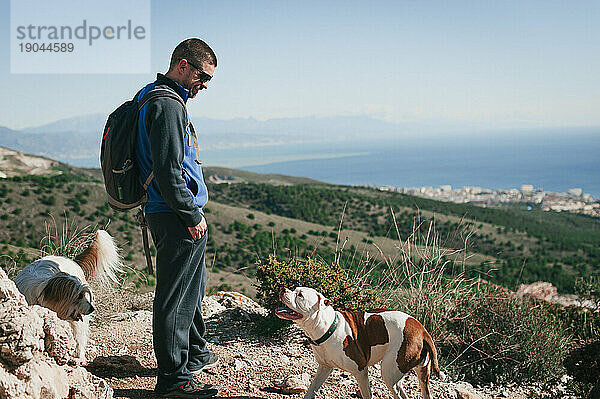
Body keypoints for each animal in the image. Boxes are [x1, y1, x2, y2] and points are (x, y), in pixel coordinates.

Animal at [14, 230, 122, 364]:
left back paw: (79, 357)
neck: (42, 290)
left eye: (83, 294)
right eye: (79, 296)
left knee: (80, 336)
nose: (92, 309)